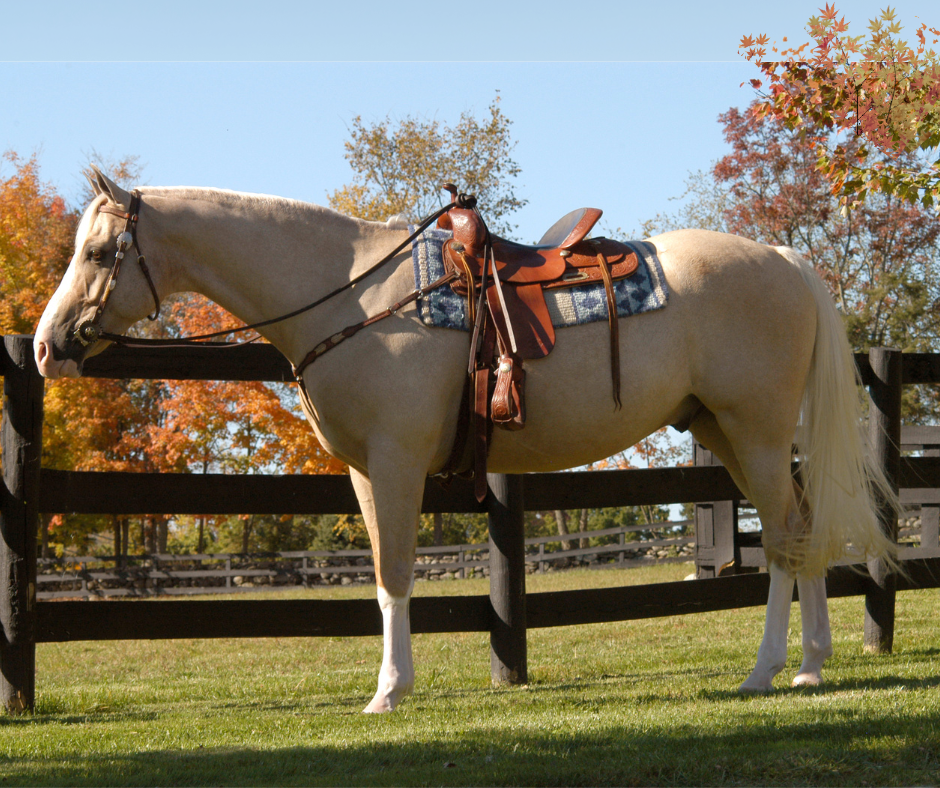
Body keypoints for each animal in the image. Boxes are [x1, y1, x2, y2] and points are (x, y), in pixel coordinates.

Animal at [34, 168, 896, 713]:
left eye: (100, 252)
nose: (46, 347)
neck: (351, 294)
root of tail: (782, 257)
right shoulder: (363, 472)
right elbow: (385, 578)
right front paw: (391, 685)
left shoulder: (396, 462)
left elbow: (394, 573)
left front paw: (389, 692)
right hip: (728, 432)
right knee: (800, 531)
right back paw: (811, 665)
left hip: (755, 432)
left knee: (784, 540)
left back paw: (768, 670)